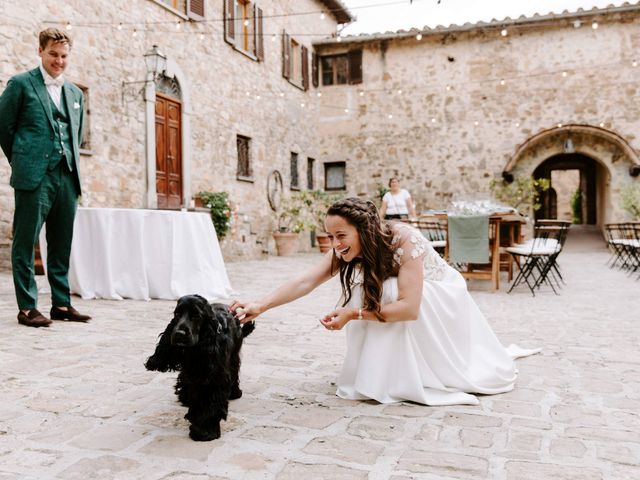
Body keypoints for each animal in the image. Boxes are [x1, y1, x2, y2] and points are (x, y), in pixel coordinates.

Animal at [146, 294, 255, 440]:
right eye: (177, 314)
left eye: (197, 316)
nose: (179, 334)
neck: (197, 349)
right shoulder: (191, 370)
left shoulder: (214, 376)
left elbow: (209, 401)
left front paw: (205, 431)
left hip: (233, 356)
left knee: (234, 371)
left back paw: (234, 393)